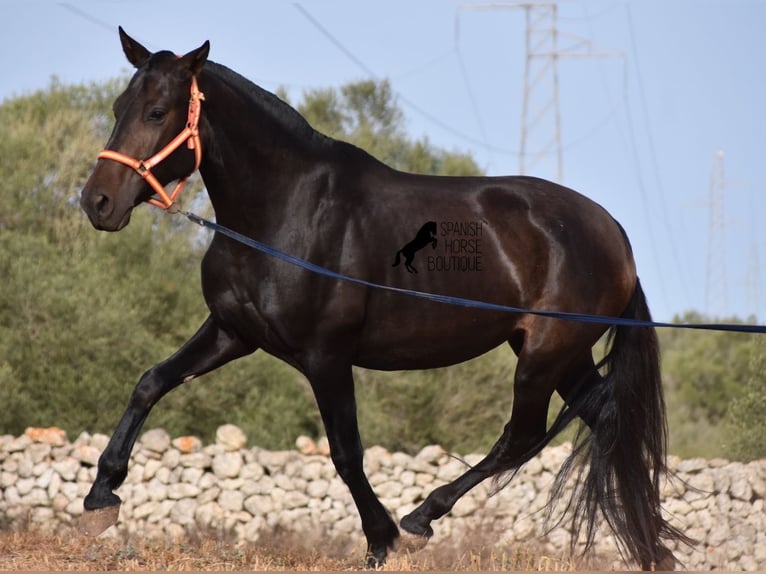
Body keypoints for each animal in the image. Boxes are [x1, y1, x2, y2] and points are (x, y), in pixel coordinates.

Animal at [79, 30, 688, 572]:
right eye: (118, 106)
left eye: (157, 111)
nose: (97, 202)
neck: (288, 210)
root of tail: (612, 231)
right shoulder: (233, 332)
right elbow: (151, 382)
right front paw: (101, 497)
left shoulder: (325, 356)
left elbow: (346, 451)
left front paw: (381, 539)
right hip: (564, 356)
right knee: (603, 423)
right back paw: (653, 551)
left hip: (544, 354)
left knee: (524, 435)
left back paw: (420, 520)